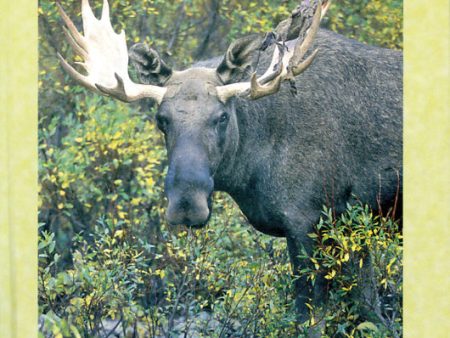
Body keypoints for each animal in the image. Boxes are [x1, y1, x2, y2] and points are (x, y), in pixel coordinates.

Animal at [56, 0, 404, 328]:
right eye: (161, 119)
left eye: (222, 116)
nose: (186, 204)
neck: (251, 172)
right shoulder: (349, 228)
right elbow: (370, 311)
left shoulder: (308, 221)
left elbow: (313, 318)